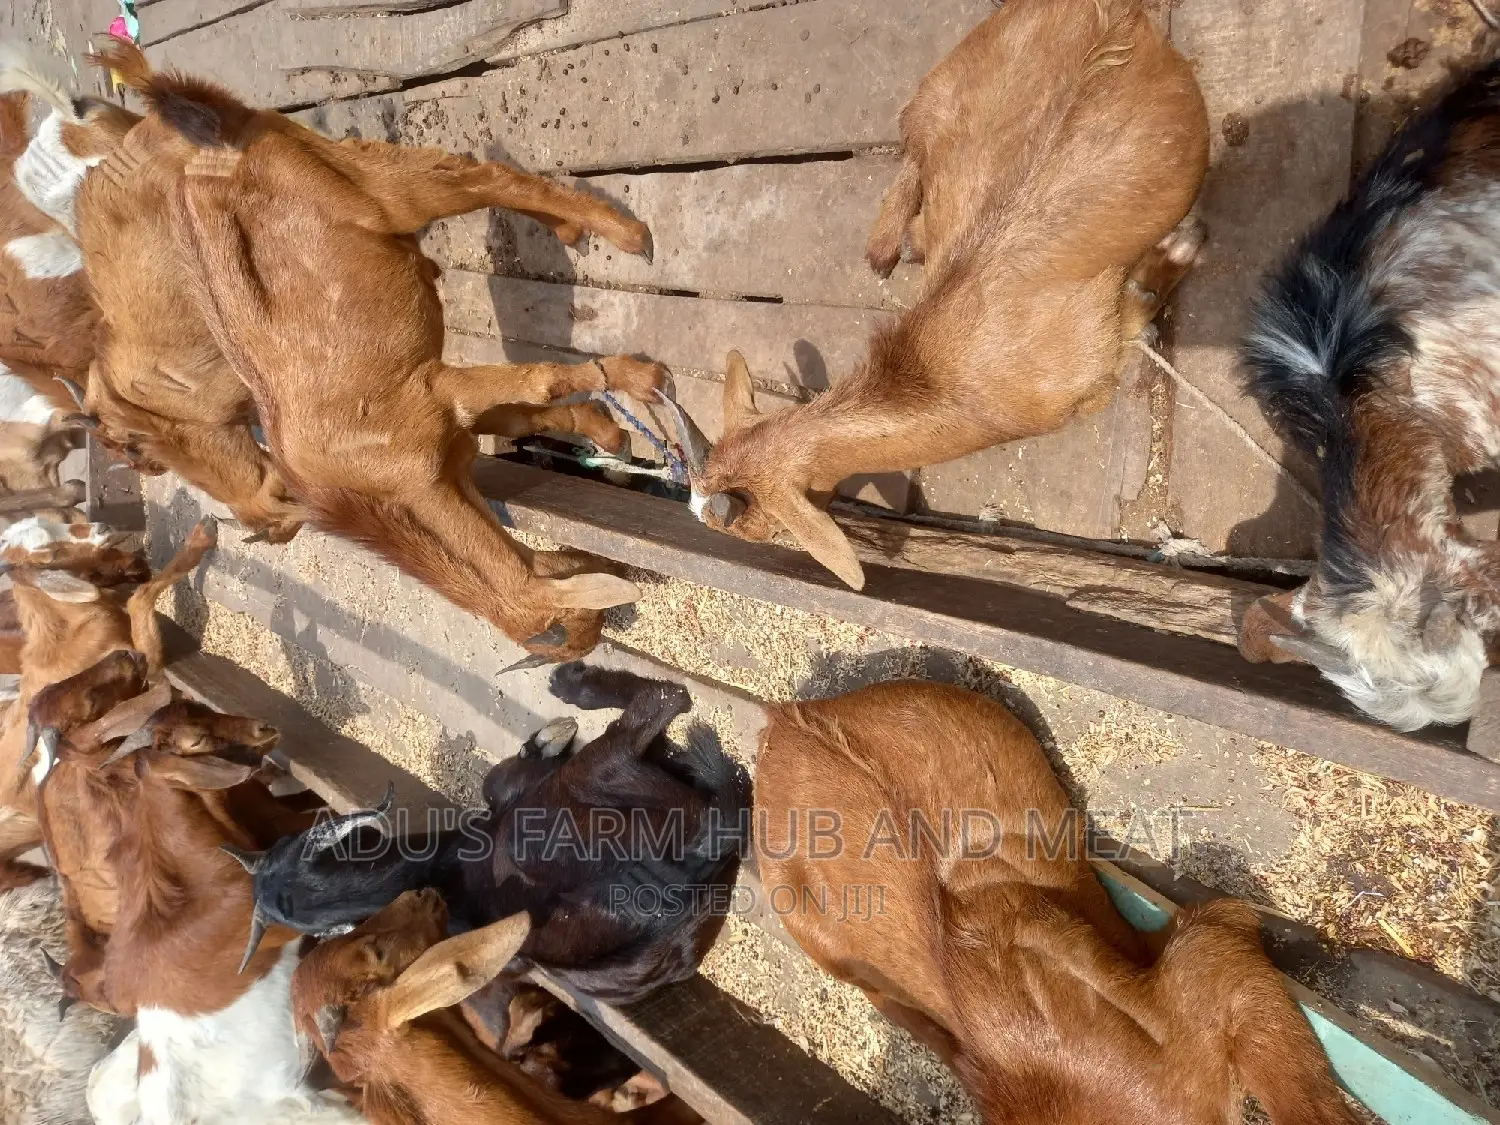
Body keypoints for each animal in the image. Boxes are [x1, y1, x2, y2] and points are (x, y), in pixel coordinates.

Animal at [658, 0, 1208, 588]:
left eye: (762, 528)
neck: (939, 377)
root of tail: (1118, 16)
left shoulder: (1090, 366)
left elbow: (1139, 301)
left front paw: (1180, 249)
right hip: (944, 91)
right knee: (916, 147)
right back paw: (895, 243)